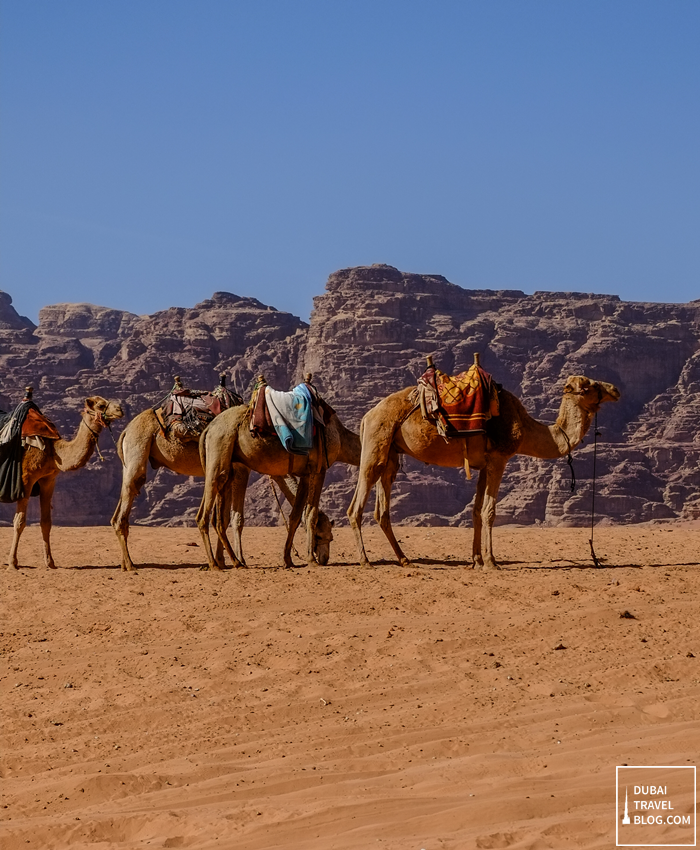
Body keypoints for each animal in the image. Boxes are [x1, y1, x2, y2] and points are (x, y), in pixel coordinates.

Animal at [7, 396, 124, 568]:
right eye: (101, 405)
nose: (120, 409)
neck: (52, 450)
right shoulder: (26, 478)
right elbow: (19, 521)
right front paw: (13, 562)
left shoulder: (48, 479)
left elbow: (46, 523)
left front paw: (50, 562)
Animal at [111, 408, 336, 572]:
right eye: (320, 535)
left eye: (330, 537)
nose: (324, 559)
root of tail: (125, 431)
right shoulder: (241, 468)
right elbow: (235, 518)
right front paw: (237, 560)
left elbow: (223, 517)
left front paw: (222, 560)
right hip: (138, 449)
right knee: (128, 499)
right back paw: (130, 565)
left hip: (129, 459)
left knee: (119, 509)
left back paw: (124, 563)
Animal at [196, 400, 360, 568]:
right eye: (320, 536)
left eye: (331, 538)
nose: (324, 559)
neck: (340, 437)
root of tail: (208, 428)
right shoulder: (319, 469)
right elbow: (311, 515)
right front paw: (310, 559)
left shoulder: (306, 474)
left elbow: (296, 516)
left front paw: (288, 559)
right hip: (220, 450)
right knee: (205, 514)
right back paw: (215, 563)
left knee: (218, 515)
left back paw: (234, 561)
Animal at [348, 372, 620, 568]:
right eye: (591, 385)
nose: (615, 390)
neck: (526, 428)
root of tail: (367, 416)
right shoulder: (499, 459)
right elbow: (489, 511)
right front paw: (491, 562)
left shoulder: (483, 465)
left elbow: (476, 511)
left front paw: (476, 560)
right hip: (376, 442)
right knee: (356, 505)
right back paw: (365, 561)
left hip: (390, 454)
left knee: (382, 509)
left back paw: (405, 560)